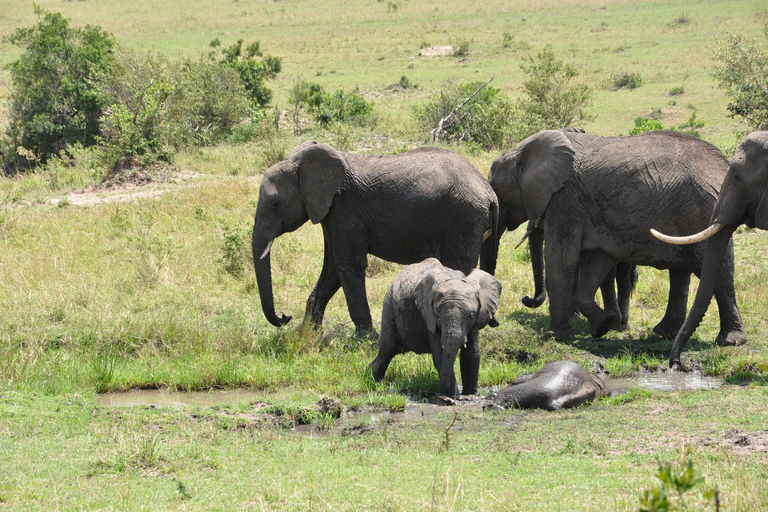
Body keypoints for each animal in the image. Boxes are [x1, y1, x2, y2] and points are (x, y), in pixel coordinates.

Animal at [252, 140, 498, 334]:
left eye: (275, 204)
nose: (285, 317)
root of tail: (490, 194)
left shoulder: (346, 210)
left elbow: (348, 265)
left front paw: (365, 338)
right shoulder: (331, 213)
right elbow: (332, 268)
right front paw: (308, 333)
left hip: (463, 221)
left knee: (458, 268)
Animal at [368, 258, 500, 398]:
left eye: (470, 316)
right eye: (438, 316)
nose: (441, 393)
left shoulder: (478, 317)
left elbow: (472, 354)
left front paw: (470, 394)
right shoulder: (429, 316)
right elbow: (439, 355)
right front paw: (452, 396)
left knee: (392, 350)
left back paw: (367, 373)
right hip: (389, 306)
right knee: (387, 350)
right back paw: (372, 381)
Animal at [480, 130, 744, 358]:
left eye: (497, 190)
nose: (526, 299)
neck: (521, 151)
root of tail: (723, 167)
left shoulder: (565, 200)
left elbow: (561, 260)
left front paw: (557, 335)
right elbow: (594, 264)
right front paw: (603, 325)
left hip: (701, 211)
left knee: (717, 273)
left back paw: (730, 340)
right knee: (685, 272)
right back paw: (665, 333)